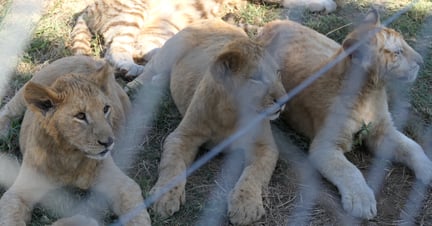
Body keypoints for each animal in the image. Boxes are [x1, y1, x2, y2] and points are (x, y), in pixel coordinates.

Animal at [0, 55, 150, 225]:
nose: (109, 142)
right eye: (80, 116)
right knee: (8, 109)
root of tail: (86, 58)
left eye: (105, 109)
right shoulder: (19, 192)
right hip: (30, 86)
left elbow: (137, 215)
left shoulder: (123, 185)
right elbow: (11, 216)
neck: (69, 156)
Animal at [71, 0, 246, 77]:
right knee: (116, 48)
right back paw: (131, 68)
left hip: (164, 28)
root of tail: (86, 10)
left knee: (142, 49)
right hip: (134, 11)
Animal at [138, 19, 286, 224]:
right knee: (151, 66)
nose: (284, 100)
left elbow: (255, 173)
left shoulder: (265, 147)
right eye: (256, 79)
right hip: (170, 51)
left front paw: (246, 206)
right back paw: (135, 85)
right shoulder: (182, 136)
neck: (232, 113)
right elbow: (173, 165)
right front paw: (164, 198)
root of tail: (215, 20)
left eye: (278, 72)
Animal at [258, 10, 430, 219]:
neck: (370, 92)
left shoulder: (384, 130)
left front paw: (428, 169)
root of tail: (273, 23)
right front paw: (361, 201)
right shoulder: (325, 146)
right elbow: (349, 170)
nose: (421, 61)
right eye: (397, 52)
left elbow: (412, 146)